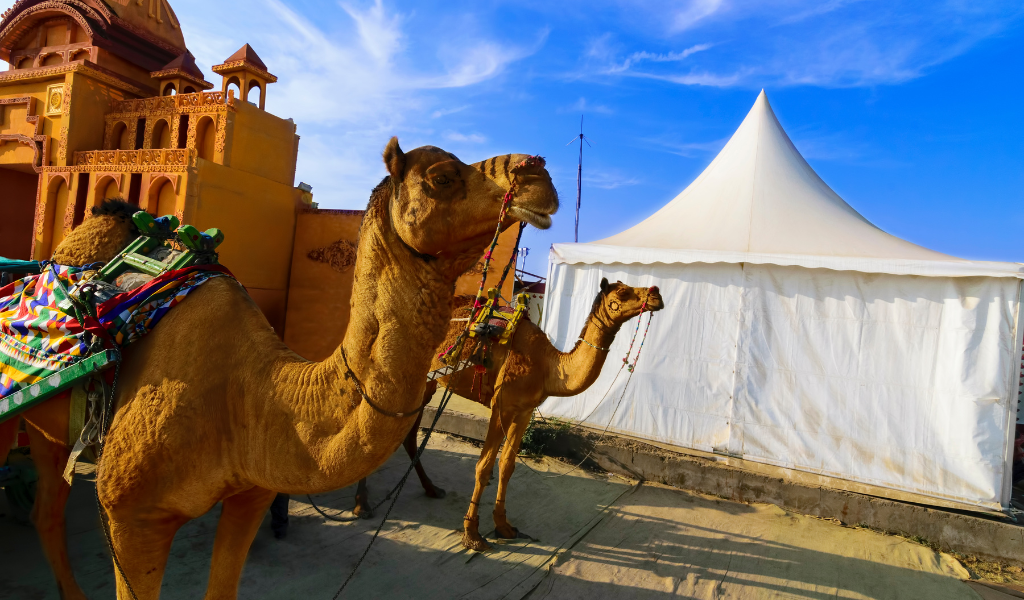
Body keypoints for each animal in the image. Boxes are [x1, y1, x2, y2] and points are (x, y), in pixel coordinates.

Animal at [0, 139, 558, 600]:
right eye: (442, 176)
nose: (538, 171)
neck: (255, 393)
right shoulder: (130, 516)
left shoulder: (250, 494)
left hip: (51, 431)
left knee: (46, 507)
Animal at [349, 278, 663, 551]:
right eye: (622, 292)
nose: (656, 293)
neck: (548, 366)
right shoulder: (500, 405)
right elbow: (484, 466)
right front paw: (472, 535)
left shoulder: (523, 411)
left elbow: (508, 465)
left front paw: (504, 527)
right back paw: (361, 505)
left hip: (425, 382)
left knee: (408, 431)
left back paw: (431, 489)